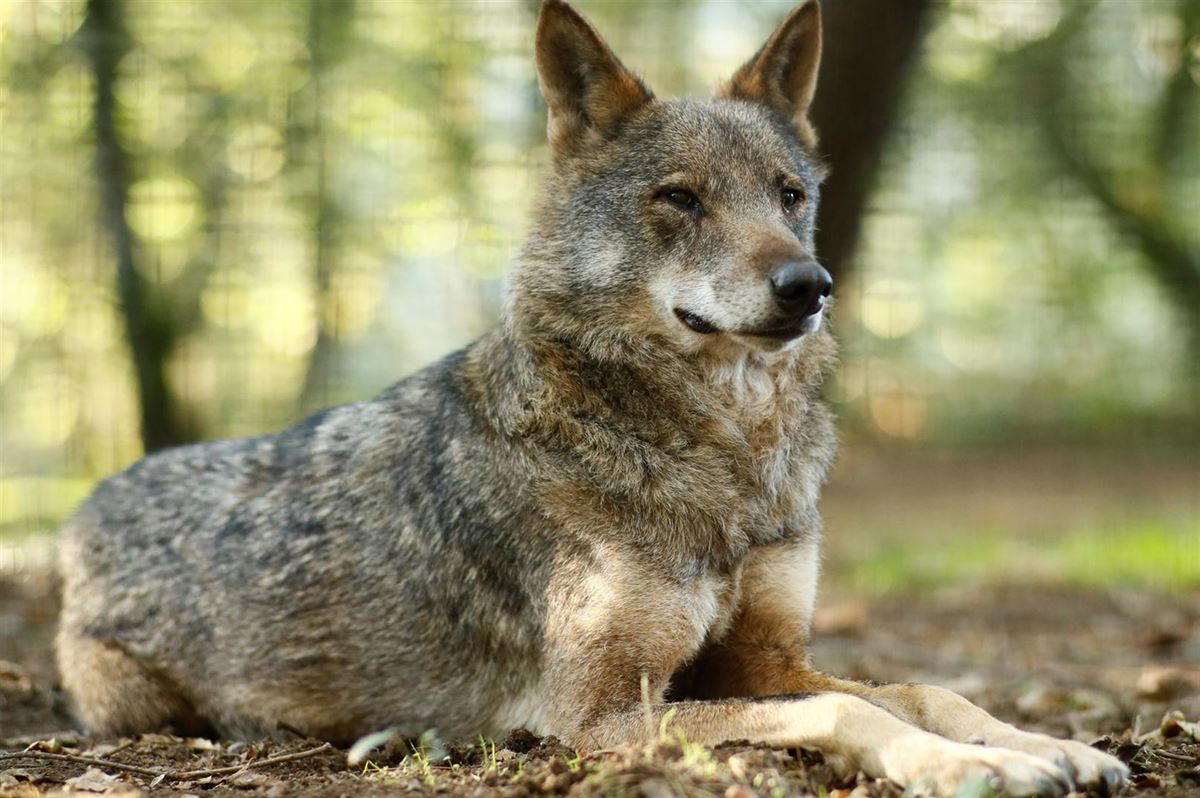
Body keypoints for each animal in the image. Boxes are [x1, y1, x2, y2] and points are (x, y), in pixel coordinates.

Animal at [54, 3, 1123, 792]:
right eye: (680, 199)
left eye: (789, 196)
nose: (809, 285)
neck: (724, 455)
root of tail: (88, 507)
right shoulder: (596, 712)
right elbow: (848, 705)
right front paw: (971, 769)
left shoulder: (765, 659)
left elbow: (925, 689)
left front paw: (1050, 745)